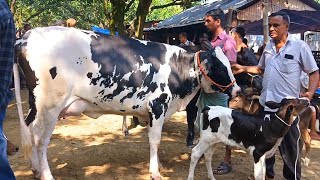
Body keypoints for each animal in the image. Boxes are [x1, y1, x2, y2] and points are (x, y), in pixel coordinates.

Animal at [15, 27, 240, 180]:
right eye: (221, 67)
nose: (237, 90)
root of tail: (27, 36)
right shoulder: (158, 105)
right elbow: (155, 140)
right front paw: (155, 172)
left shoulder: (149, 112)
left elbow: (151, 139)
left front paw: (157, 165)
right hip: (49, 107)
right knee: (40, 140)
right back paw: (46, 174)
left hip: (36, 107)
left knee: (30, 131)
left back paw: (35, 169)